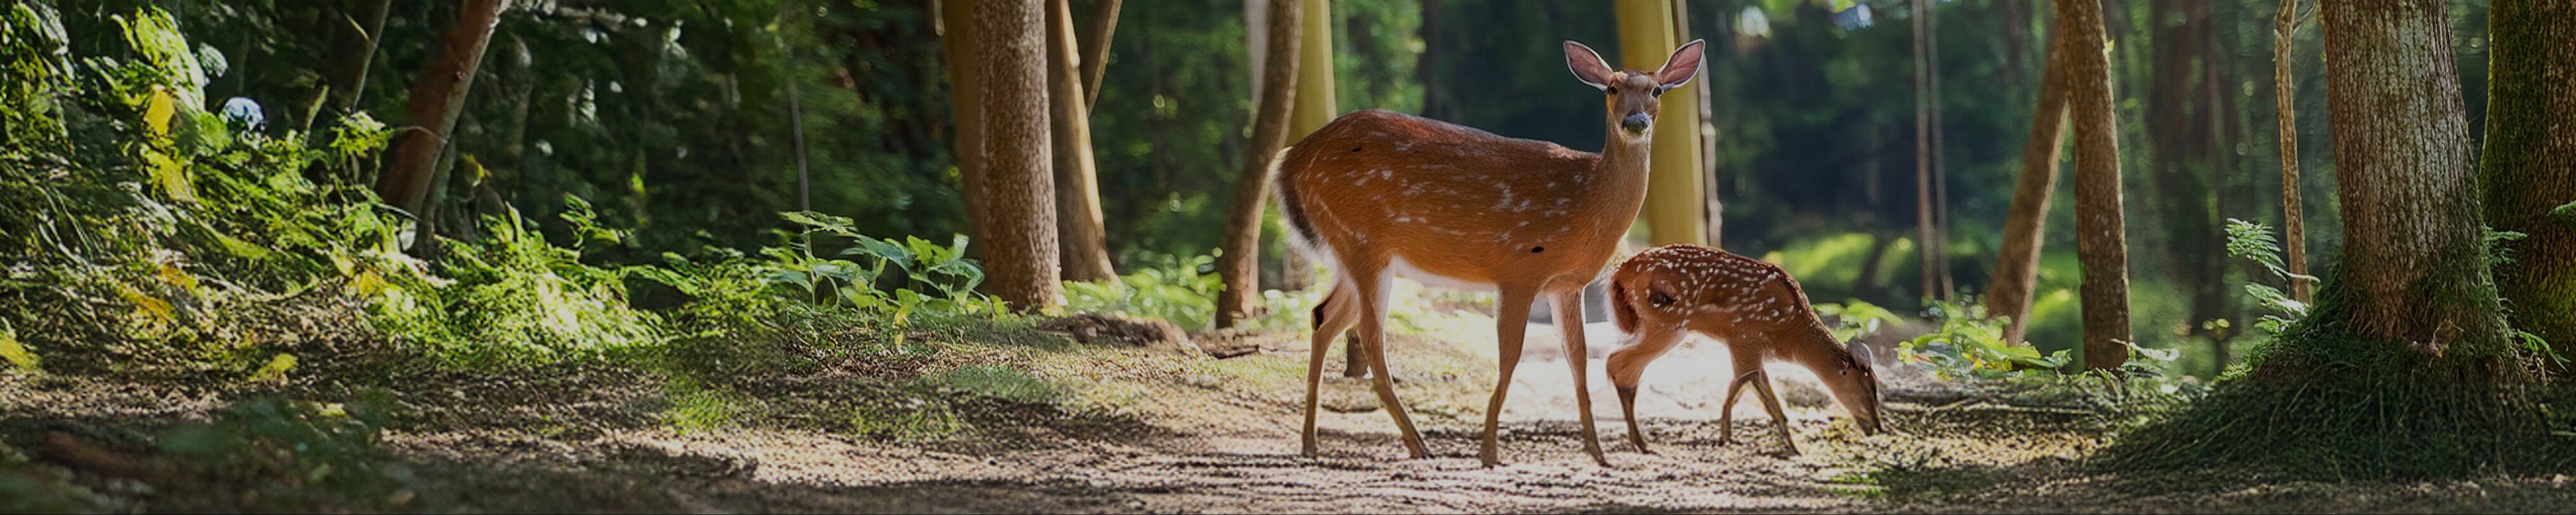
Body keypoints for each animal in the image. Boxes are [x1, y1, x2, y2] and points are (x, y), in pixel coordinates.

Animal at [1272, 40, 1710, 466]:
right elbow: (1511, 356)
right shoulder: (1521, 267)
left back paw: (1311, 443)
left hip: (1352, 250)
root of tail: (1290, 161)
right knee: (1368, 334)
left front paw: (1598, 452)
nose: (1635, 122)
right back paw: (1418, 443)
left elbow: (1578, 358)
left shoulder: (1567, 284)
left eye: (1656, 90)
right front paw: (1489, 452)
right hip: (1363, 240)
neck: (1589, 202)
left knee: (1323, 316)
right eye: (1612, 88)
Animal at [1597, 246, 1885, 455]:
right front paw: (1795, 448)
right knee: (1617, 362)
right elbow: (1754, 389)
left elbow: (1744, 387)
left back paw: (1638, 441)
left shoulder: (1748, 348)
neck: (1791, 333)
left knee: (1623, 366)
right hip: (1667, 321)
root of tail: (1621, 272)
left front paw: (1726, 436)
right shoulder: (1746, 336)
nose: (1878, 427)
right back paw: (1640, 444)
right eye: (1866, 388)